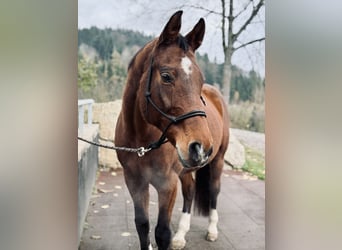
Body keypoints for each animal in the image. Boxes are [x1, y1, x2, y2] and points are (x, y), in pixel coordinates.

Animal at [115, 10, 230, 249]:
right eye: (166, 76)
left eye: (200, 80)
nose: (201, 147)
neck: (142, 142)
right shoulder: (135, 181)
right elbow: (142, 225)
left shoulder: (167, 184)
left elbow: (162, 233)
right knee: (190, 191)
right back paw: (181, 235)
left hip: (217, 161)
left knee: (214, 192)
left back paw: (212, 230)